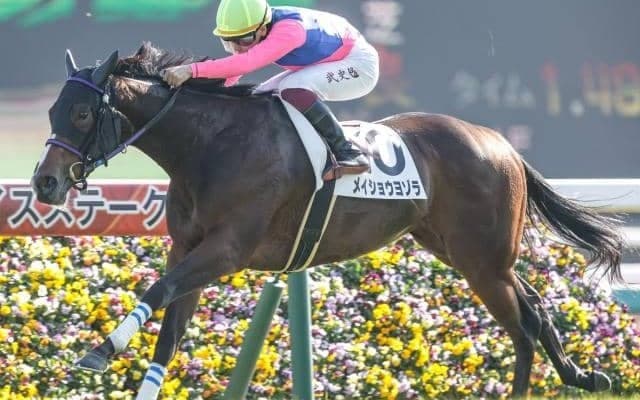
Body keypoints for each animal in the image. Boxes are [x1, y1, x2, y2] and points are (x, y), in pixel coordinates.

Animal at [31, 42, 623, 398]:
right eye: (52, 112)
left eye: (81, 113)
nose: (44, 183)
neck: (212, 146)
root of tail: (501, 143)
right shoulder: (189, 250)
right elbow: (168, 334)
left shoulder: (227, 251)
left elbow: (157, 290)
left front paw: (99, 351)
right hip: (464, 252)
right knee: (535, 309)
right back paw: (579, 373)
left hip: (483, 260)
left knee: (523, 327)